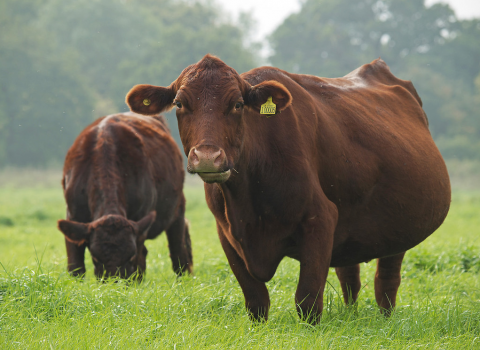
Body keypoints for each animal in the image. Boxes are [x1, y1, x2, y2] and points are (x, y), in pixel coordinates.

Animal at [59, 113, 193, 280]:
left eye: (130, 256)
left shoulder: (141, 221)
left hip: (177, 208)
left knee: (178, 251)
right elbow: (76, 268)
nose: (113, 282)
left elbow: (137, 269)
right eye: (95, 258)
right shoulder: (73, 216)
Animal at [125, 54, 452, 322]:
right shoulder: (226, 233)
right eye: (180, 104)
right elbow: (256, 301)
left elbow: (307, 300)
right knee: (350, 277)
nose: (207, 157)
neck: (247, 202)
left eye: (238, 104)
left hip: (399, 228)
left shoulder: (321, 220)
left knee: (386, 282)